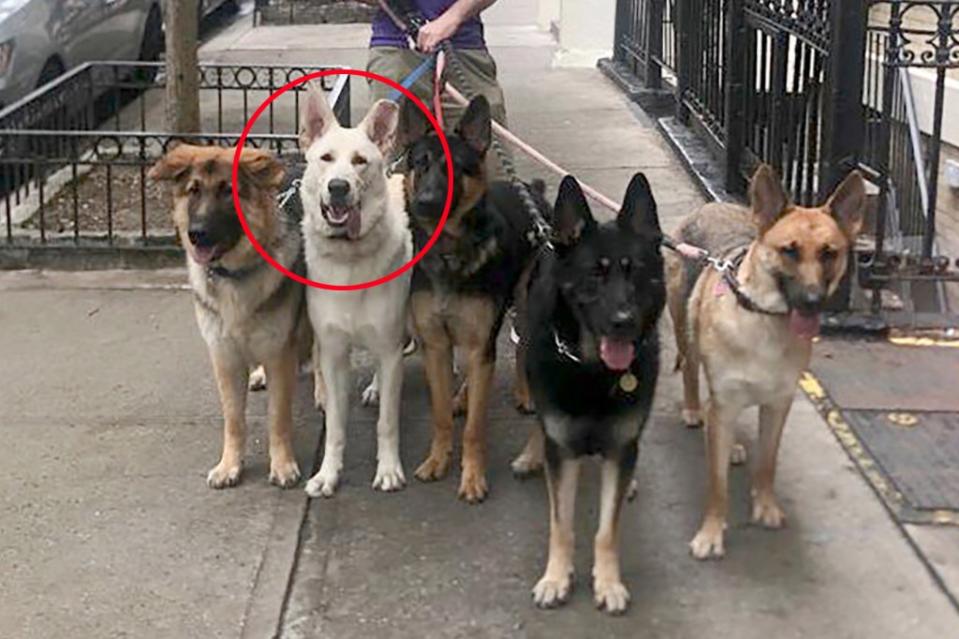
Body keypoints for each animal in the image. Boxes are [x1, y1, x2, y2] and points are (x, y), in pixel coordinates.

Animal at [148, 145, 316, 490]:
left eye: (228, 191)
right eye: (194, 190)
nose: (196, 234)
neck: (234, 273)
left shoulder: (279, 354)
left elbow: (278, 417)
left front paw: (282, 464)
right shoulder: (224, 357)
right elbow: (234, 419)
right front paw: (230, 466)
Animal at [300, 84, 412, 496]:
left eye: (361, 161)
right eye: (326, 159)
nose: (338, 187)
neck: (350, 261)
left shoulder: (390, 347)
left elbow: (387, 423)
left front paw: (389, 469)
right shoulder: (333, 353)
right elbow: (335, 425)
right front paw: (328, 474)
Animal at [516, 174, 668, 616]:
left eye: (635, 273)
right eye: (594, 275)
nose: (624, 322)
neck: (592, 371)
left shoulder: (621, 448)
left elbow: (606, 529)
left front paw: (608, 582)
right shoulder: (563, 449)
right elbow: (561, 523)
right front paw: (555, 577)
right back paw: (531, 454)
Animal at [668, 165, 872, 560]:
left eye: (829, 253)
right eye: (788, 251)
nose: (812, 302)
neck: (764, 317)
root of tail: (710, 207)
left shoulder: (778, 406)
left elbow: (767, 463)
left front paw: (765, 506)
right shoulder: (727, 401)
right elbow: (717, 485)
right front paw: (711, 533)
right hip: (685, 330)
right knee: (691, 372)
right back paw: (694, 410)